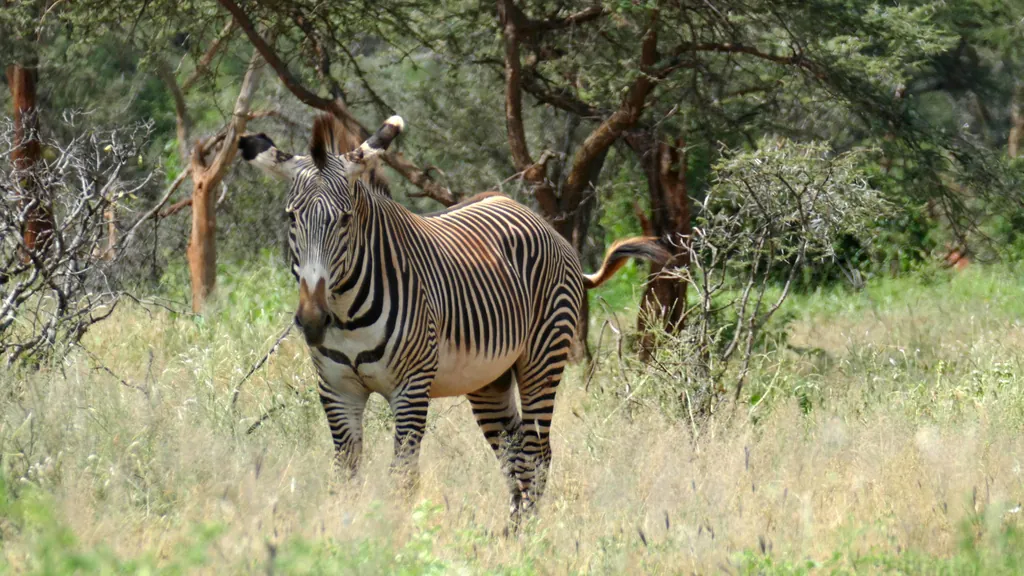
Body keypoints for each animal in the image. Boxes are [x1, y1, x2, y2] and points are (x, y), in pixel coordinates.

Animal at [238, 114, 669, 520]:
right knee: (515, 453)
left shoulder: (411, 387)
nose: (312, 320)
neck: (346, 314)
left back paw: (529, 537)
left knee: (537, 452)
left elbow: (403, 480)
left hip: (542, 358)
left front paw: (396, 536)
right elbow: (344, 480)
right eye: (290, 217)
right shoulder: (336, 390)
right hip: (489, 379)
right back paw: (510, 536)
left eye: (345, 219)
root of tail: (540, 221)